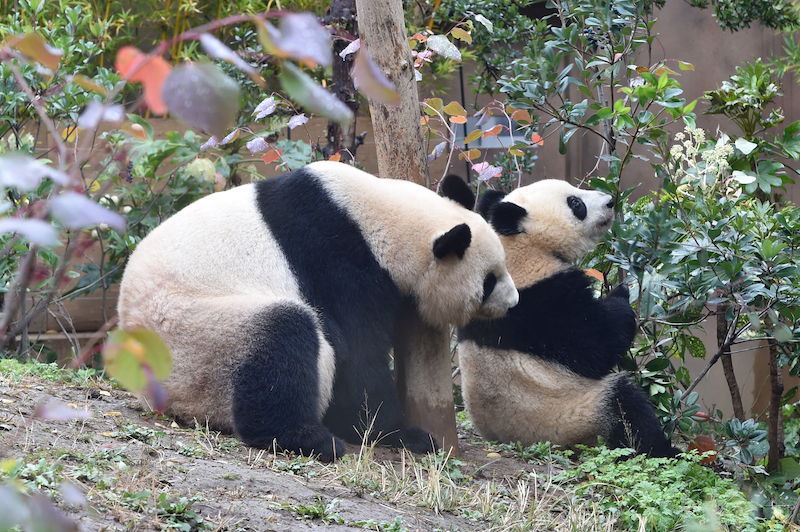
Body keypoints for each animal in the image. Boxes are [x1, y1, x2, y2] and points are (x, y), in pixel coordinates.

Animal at [119, 161, 520, 462]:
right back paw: (308, 440)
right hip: (197, 336)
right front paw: (403, 435)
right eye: (488, 281)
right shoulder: (337, 261)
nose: (514, 302)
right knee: (283, 337)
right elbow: (356, 355)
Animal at [440, 175, 680, 458]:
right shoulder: (542, 304)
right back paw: (665, 449)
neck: (523, 246)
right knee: (623, 405)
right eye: (575, 203)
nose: (610, 201)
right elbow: (596, 344)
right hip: (570, 418)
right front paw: (621, 295)